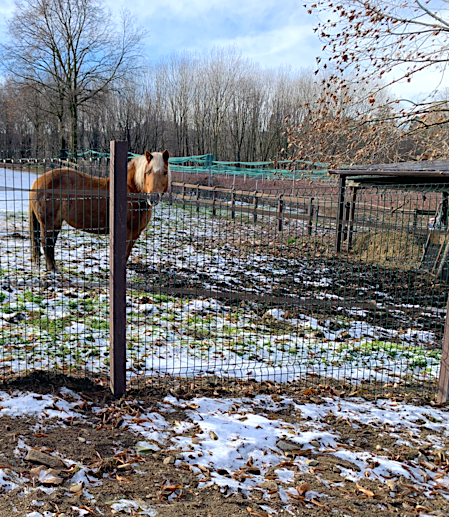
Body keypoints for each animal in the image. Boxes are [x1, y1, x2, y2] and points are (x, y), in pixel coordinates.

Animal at [28, 149, 171, 272]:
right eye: (147, 172)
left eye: (165, 172)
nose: (153, 197)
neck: (131, 192)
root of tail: (37, 181)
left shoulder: (134, 234)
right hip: (49, 224)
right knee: (47, 244)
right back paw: (53, 270)